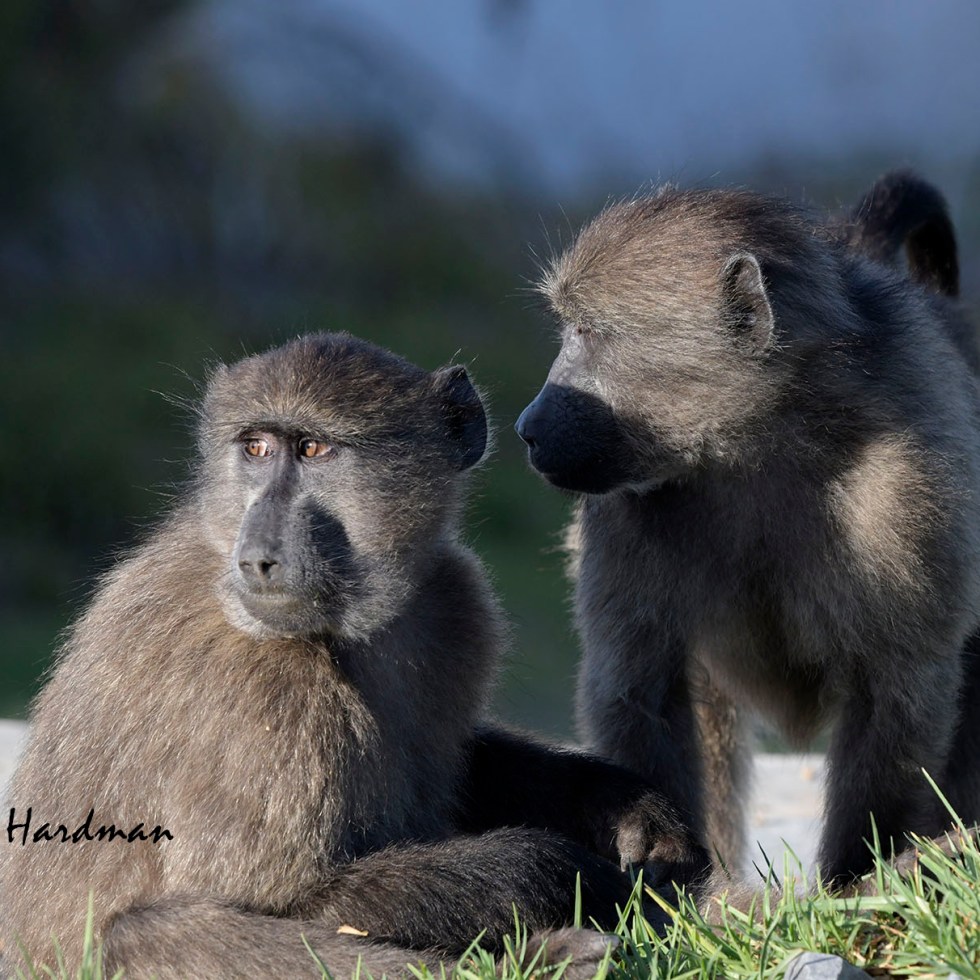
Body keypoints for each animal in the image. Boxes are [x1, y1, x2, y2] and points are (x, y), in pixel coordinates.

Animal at [0, 333, 705, 978]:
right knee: (149, 933)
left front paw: (627, 809)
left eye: (313, 449)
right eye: (256, 448)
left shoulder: (455, 604)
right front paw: (570, 876)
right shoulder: (263, 695)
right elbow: (290, 903)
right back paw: (548, 960)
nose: (259, 558)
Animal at [515, 175, 980, 890]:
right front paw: (673, 877)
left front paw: (856, 880)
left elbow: (896, 687)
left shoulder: (907, 488)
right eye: (570, 327)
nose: (527, 428)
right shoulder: (627, 506)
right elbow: (641, 688)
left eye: (591, 331)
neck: (756, 441)